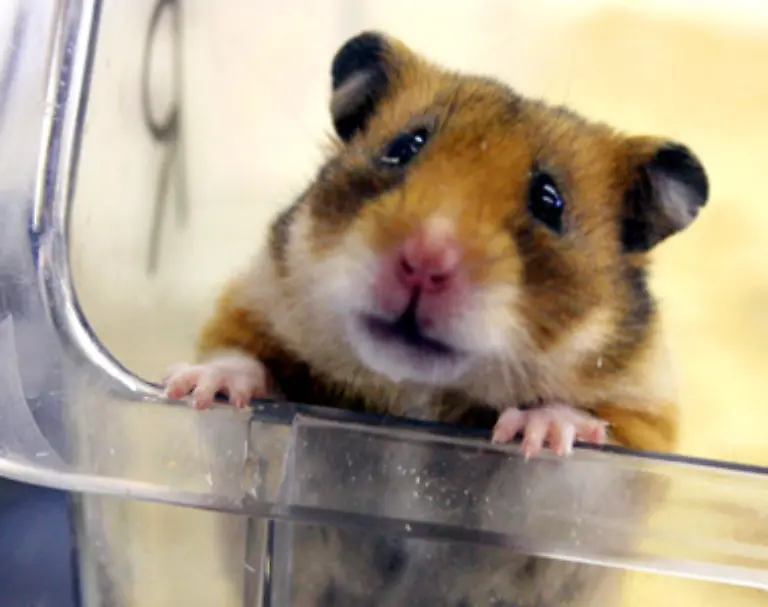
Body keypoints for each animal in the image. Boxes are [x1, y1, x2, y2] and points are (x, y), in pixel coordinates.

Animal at [164, 31, 709, 607]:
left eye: (549, 202)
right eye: (404, 146)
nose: (425, 261)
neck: (419, 395)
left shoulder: (640, 437)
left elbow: (575, 448)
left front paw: (536, 431)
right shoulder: (253, 303)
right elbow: (238, 358)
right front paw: (199, 389)